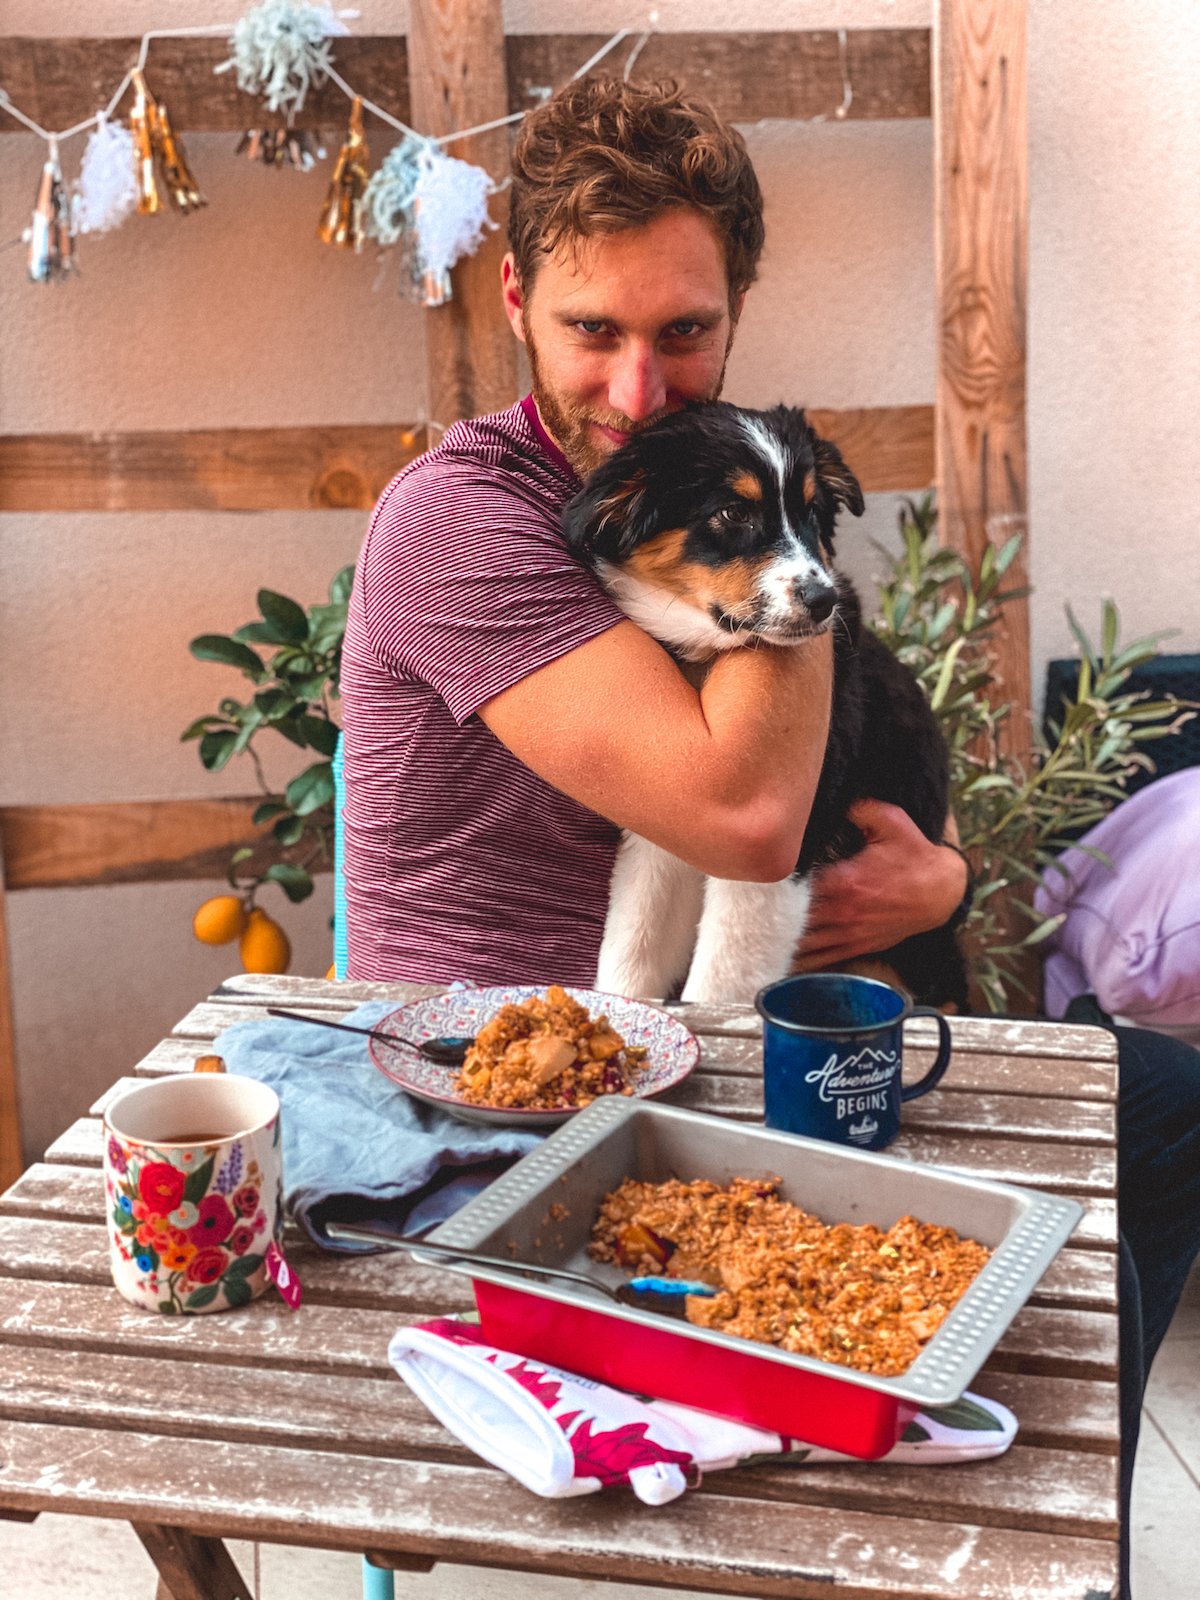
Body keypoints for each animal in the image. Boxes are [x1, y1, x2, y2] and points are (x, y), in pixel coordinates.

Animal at [563, 400, 966, 1004]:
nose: (824, 601)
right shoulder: (668, 830)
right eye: (734, 513)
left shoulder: (780, 847)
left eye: (811, 512)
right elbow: (632, 951)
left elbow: (720, 981)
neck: (704, 654)